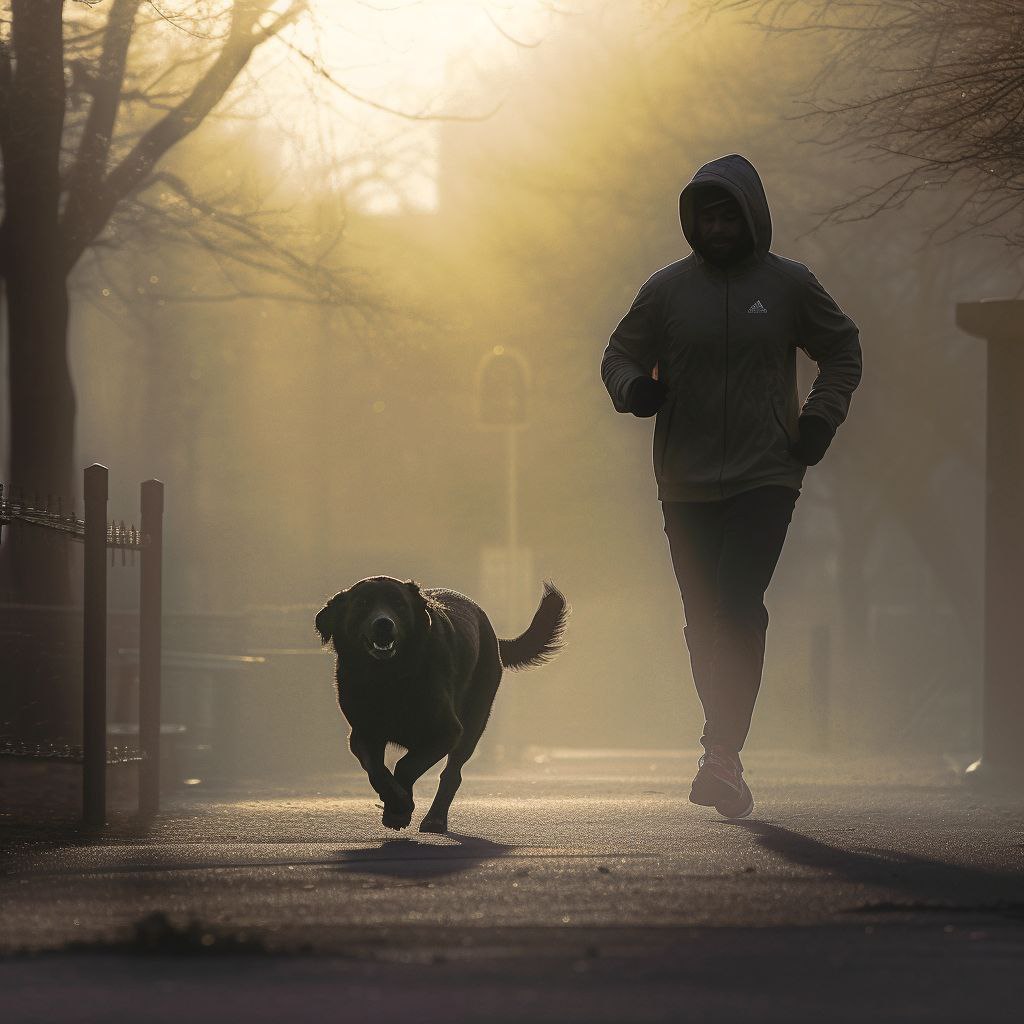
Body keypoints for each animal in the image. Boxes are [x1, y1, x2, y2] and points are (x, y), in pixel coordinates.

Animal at [313, 577, 569, 831]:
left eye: (399, 604)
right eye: (362, 604)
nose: (383, 624)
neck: (390, 678)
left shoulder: (447, 731)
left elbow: (406, 765)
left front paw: (400, 809)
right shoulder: (362, 734)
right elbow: (377, 771)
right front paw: (396, 804)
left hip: (473, 724)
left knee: (452, 774)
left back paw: (435, 818)